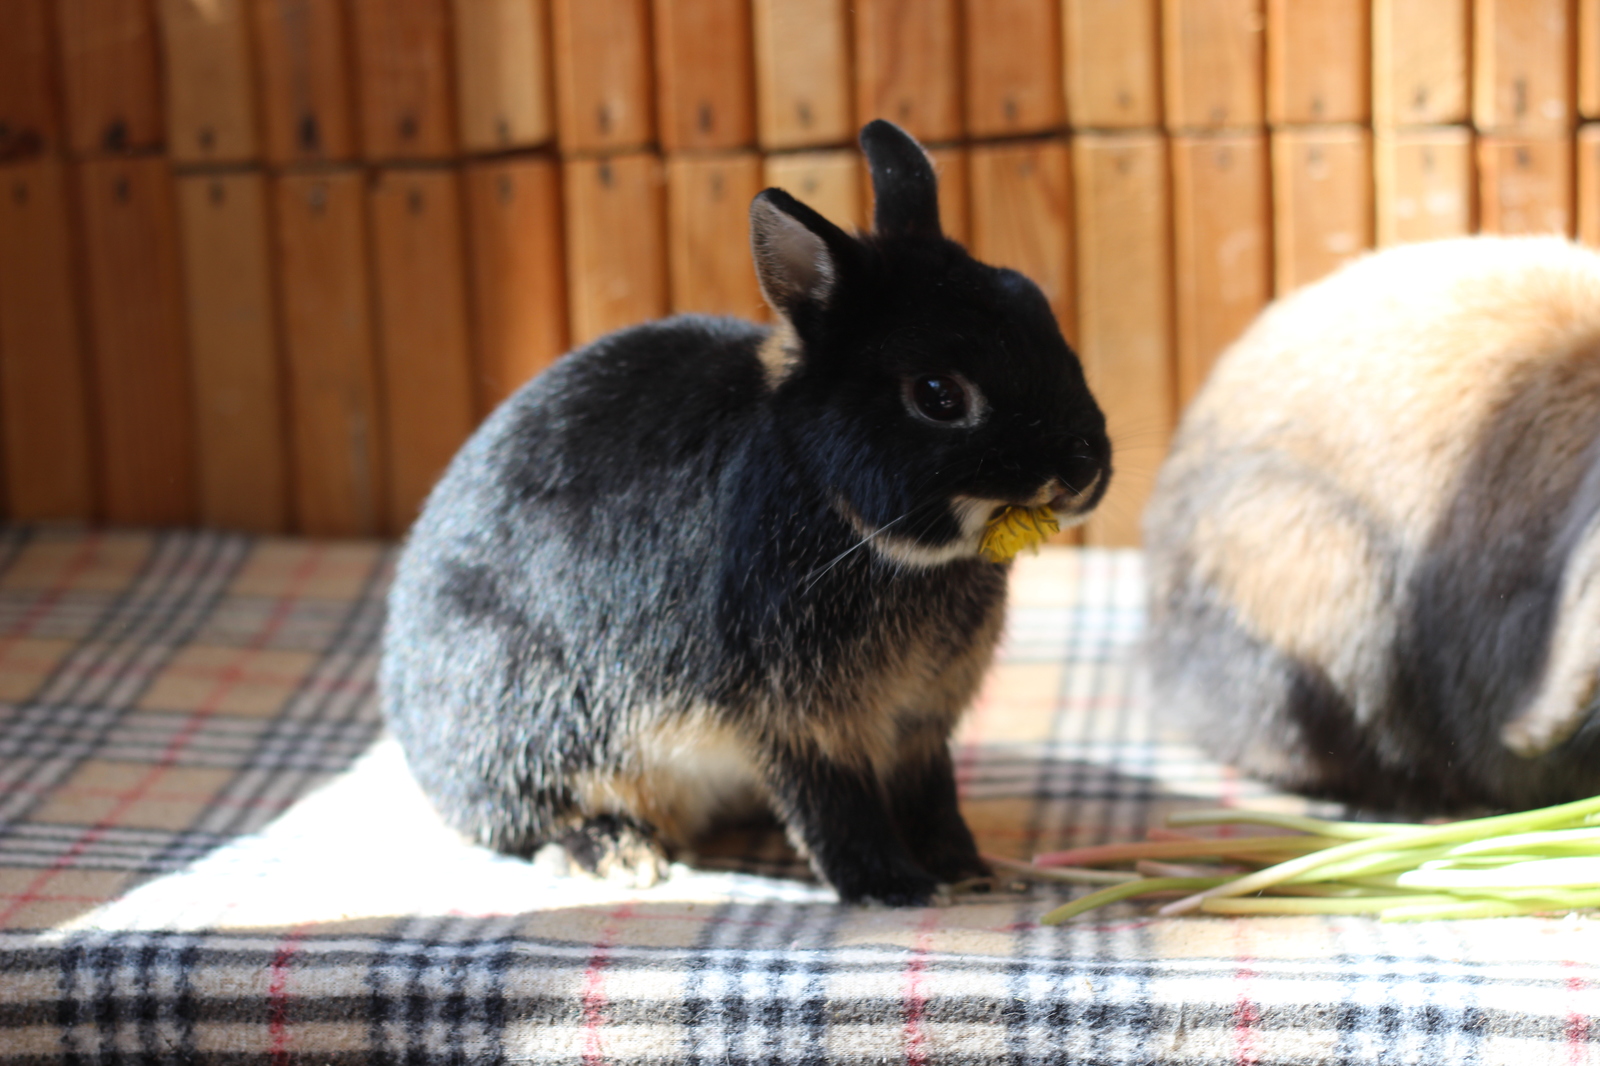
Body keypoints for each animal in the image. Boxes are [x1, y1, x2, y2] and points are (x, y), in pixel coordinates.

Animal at [379, 120, 1107, 902]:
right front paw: (892, 887)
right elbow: (835, 805)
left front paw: (967, 871)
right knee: (531, 821)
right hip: (532, 719)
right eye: (939, 396)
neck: (837, 509)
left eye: (1039, 310)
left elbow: (931, 795)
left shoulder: (919, 722)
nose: (1082, 470)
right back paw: (618, 854)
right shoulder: (798, 721)